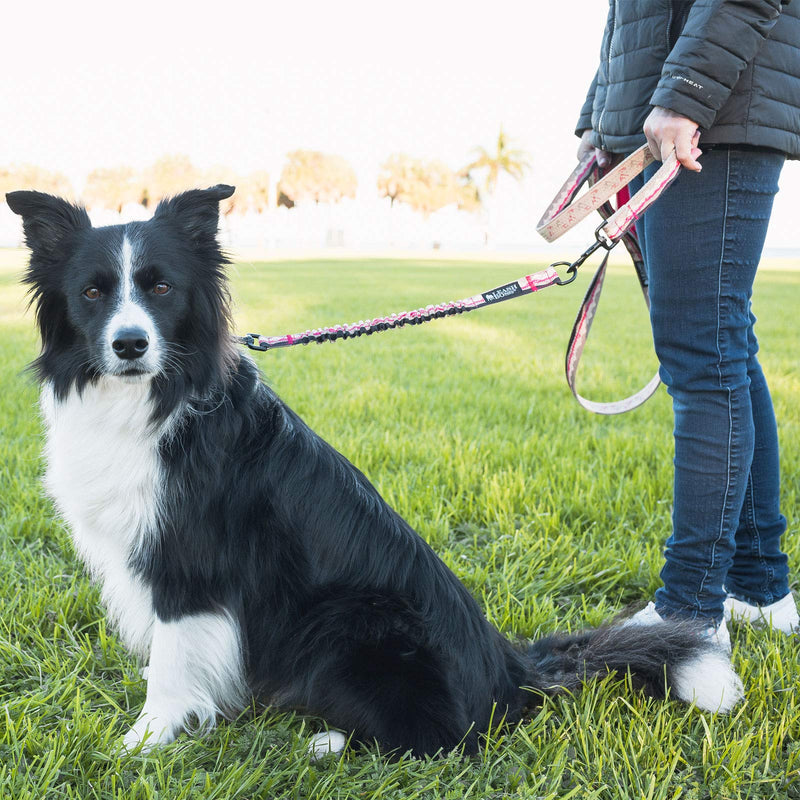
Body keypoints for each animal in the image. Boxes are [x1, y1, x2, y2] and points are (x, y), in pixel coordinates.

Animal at [7, 186, 744, 756]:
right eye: (93, 293)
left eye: (161, 287)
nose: (130, 344)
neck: (151, 398)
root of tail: (510, 668)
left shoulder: (191, 564)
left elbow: (170, 665)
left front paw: (145, 741)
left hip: (349, 618)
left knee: (443, 741)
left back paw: (329, 742)